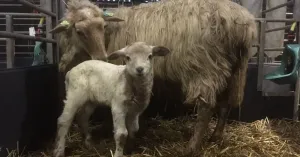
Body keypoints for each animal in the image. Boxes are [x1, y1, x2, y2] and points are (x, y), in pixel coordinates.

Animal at [104, 0, 256, 154]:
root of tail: (240, 22)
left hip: (206, 68)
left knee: (205, 108)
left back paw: (192, 147)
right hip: (236, 70)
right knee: (226, 102)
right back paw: (216, 136)